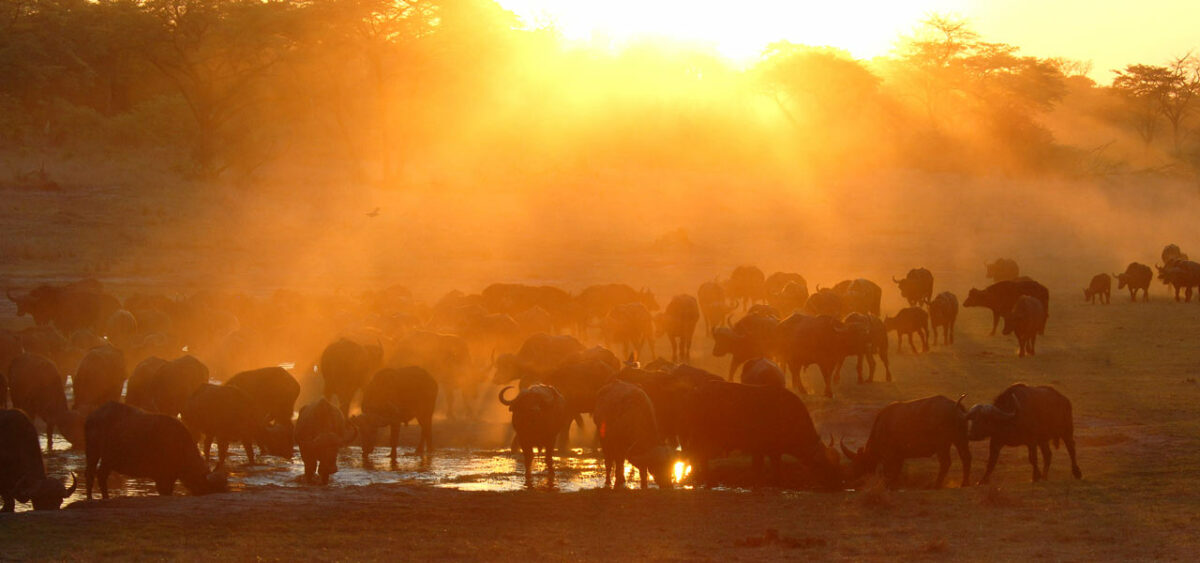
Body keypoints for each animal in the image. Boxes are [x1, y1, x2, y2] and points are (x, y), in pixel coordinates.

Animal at [84, 398, 226, 496]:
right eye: (208, 487)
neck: (181, 447)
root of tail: (92, 415)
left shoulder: (170, 477)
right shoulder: (162, 478)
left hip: (108, 459)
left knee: (101, 475)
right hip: (93, 452)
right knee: (90, 474)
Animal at [681, 381, 840, 487]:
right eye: (822, 463)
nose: (837, 481)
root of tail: (694, 393)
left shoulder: (771, 451)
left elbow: (773, 467)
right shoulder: (759, 449)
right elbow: (760, 468)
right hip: (700, 437)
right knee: (697, 456)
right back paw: (703, 480)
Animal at [840, 396, 969, 487]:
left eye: (857, 463)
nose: (850, 477)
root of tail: (955, 406)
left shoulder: (889, 455)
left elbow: (889, 472)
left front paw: (888, 485)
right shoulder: (899, 456)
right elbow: (896, 471)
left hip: (942, 444)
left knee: (945, 462)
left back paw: (936, 485)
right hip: (960, 439)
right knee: (966, 457)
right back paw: (964, 484)